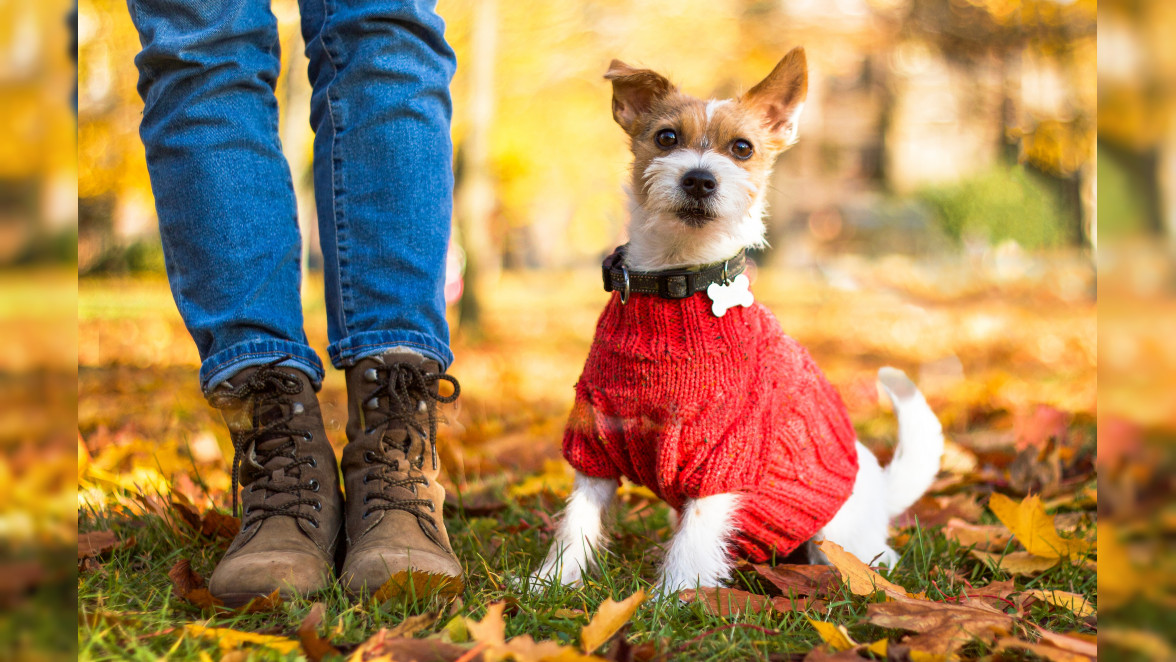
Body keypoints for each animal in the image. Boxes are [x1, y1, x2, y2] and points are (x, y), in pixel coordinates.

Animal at [533, 49, 945, 592]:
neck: (674, 282)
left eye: (742, 148)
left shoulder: (724, 451)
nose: (699, 179)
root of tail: (879, 488)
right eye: (667, 137)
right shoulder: (596, 439)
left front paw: (674, 596)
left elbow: (695, 535)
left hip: (838, 539)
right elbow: (578, 520)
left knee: (871, 559)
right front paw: (552, 581)